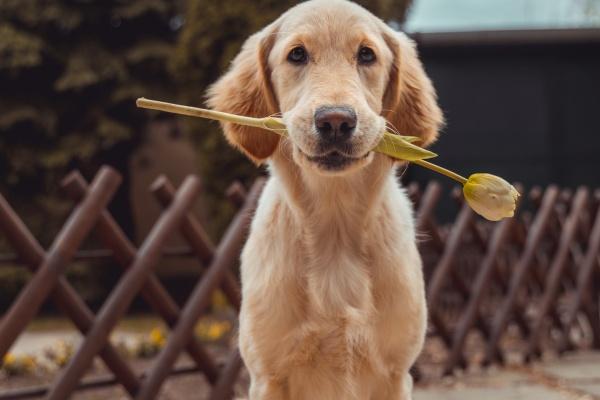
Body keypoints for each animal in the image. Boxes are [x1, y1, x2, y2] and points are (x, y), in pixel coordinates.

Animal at [209, 1, 442, 398]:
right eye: (297, 55)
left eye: (366, 54)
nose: (335, 121)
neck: (335, 225)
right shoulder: (268, 375)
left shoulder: (396, 373)